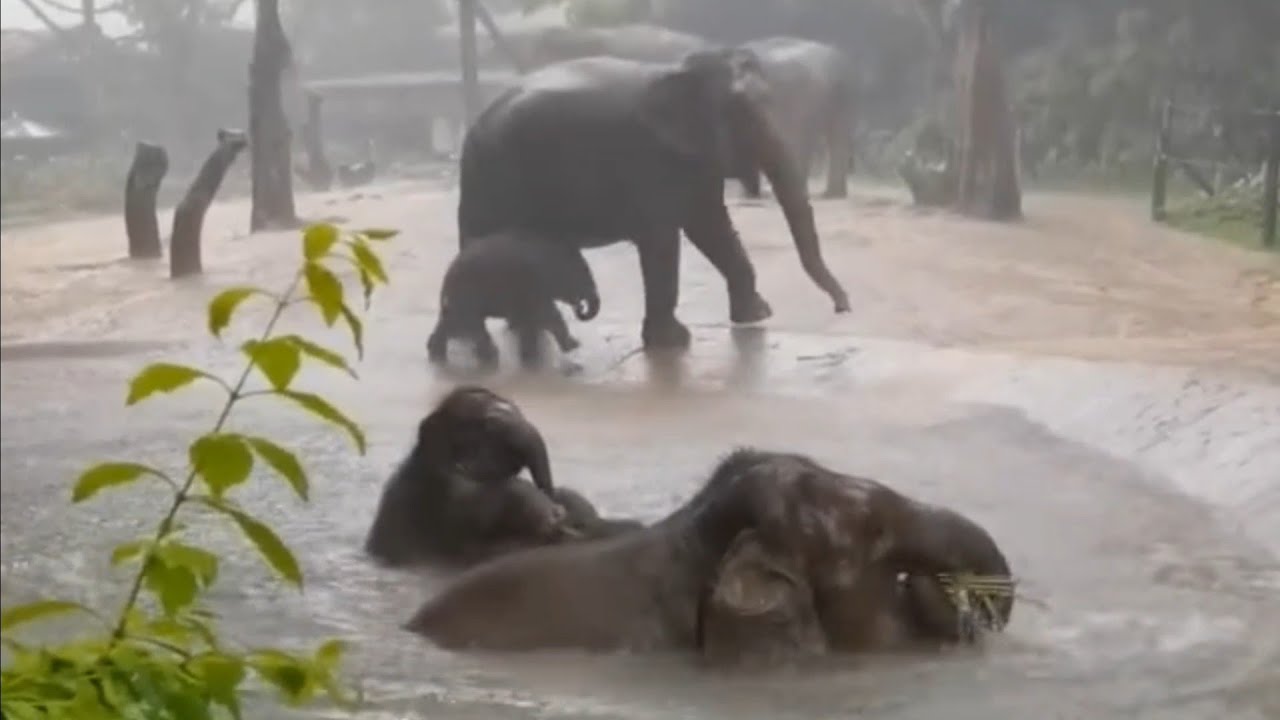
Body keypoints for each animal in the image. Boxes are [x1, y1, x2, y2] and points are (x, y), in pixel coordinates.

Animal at [427, 231, 600, 370]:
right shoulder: (533, 283)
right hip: (466, 294)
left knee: (453, 322)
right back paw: (490, 358)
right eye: (583, 274)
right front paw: (574, 346)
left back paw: (437, 355)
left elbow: (531, 319)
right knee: (468, 322)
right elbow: (547, 314)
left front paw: (530, 357)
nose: (580, 306)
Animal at [457, 49, 851, 352]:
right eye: (742, 113)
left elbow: (712, 228)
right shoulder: (649, 161)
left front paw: (756, 316)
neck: (685, 69)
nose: (843, 308)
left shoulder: (695, 161)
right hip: (493, 179)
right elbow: (663, 238)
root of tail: (474, 125)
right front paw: (673, 343)